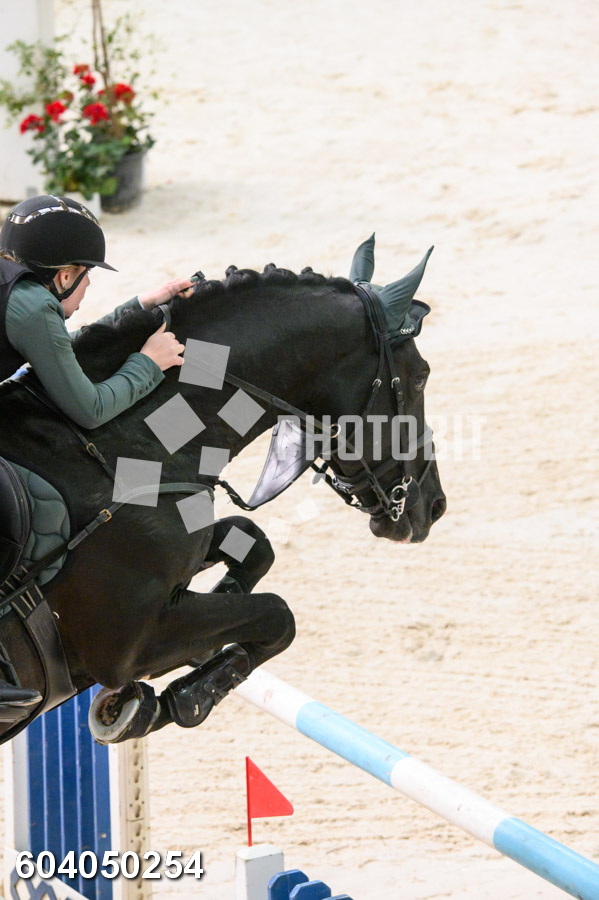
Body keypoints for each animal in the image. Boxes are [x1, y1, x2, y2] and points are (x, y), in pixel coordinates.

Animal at [0, 240, 446, 745]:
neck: (116, 445)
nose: (434, 506)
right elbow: (278, 615)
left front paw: (218, 609)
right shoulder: (128, 646)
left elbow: (253, 542)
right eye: (420, 376)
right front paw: (174, 701)